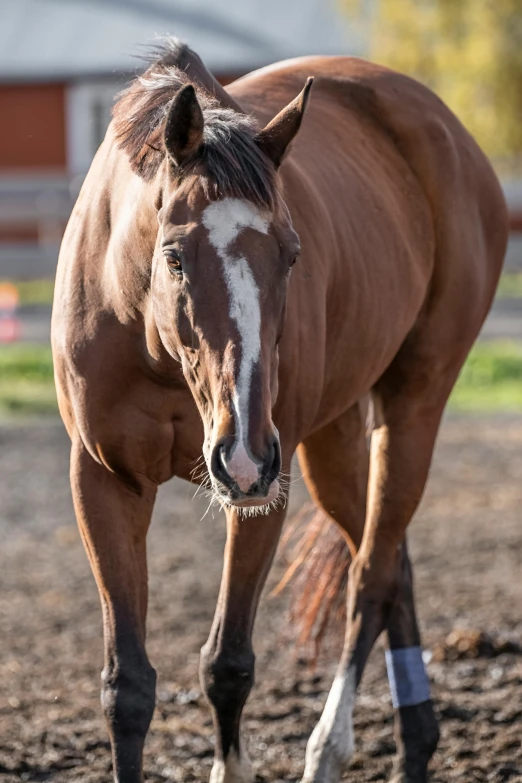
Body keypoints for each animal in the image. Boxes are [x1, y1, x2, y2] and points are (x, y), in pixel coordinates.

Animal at [50, 41, 506, 783]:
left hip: (411, 407)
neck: (150, 339)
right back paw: (415, 742)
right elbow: (128, 687)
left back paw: (329, 748)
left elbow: (227, 663)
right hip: (331, 440)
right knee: (390, 562)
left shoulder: (264, 484)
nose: (241, 450)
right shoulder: (104, 479)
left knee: (371, 577)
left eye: (291, 254)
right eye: (174, 255)